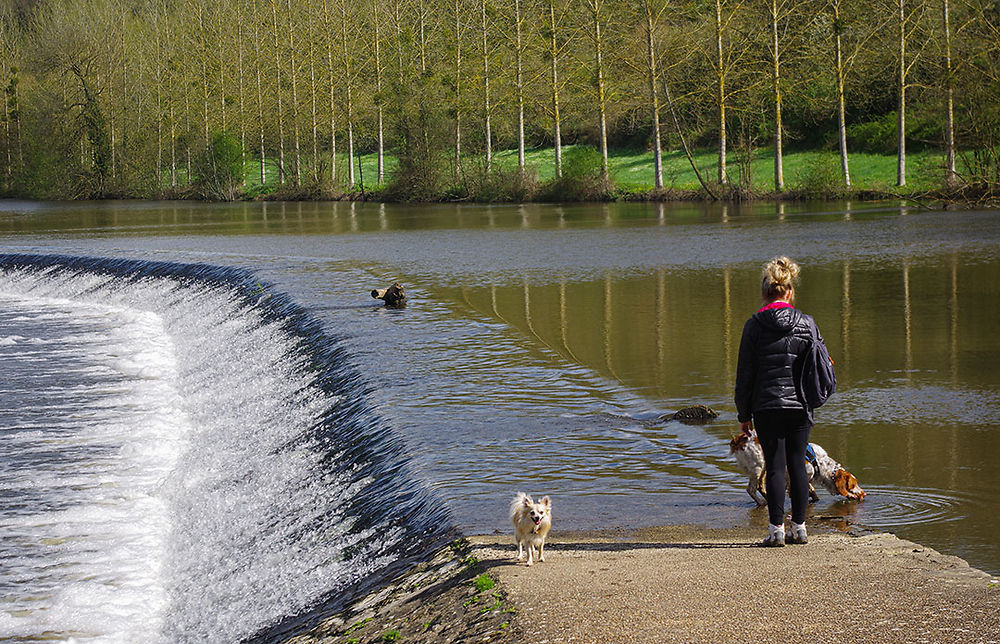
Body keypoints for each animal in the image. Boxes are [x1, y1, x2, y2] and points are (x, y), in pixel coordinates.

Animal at [732, 432, 864, 508]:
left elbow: (813, 493)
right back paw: (762, 503)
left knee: (760, 486)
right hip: (758, 468)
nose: (864, 493)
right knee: (751, 489)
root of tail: (739, 439)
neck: (818, 463)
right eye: (853, 485)